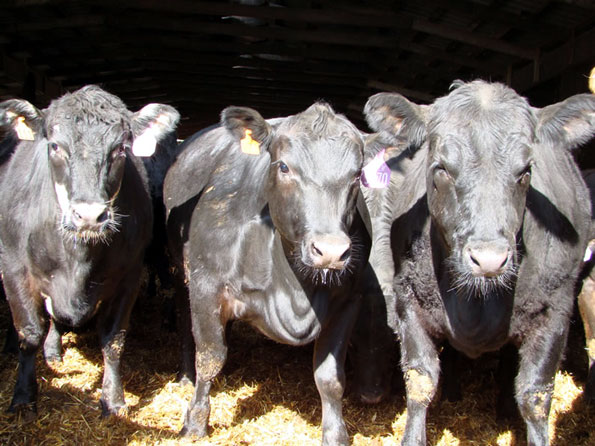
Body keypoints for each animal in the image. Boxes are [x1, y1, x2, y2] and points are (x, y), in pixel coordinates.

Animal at [165, 103, 370, 444]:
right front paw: (194, 424)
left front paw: (335, 434)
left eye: (358, 175)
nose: (330, 250)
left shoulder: (349, 301)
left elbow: (330, 377)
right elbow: (209, 357)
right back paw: (184, 376)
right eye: (284, 166)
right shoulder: (206, 286)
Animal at [364, 81, 595, 446]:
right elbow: (420, 381)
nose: (489, 259)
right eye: (441, 168)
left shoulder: (556, 312)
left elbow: (535, 395)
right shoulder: (409, 303)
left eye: (525, 171)